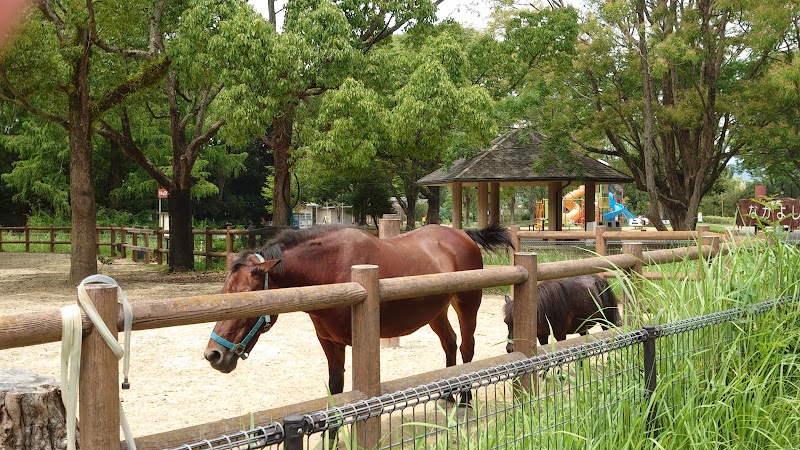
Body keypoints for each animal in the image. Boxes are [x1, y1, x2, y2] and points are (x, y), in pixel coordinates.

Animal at [203, 223, 510, 402]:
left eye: (248, 298)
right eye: (224, 293)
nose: (213, 355)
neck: (330, 270)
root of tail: (462, 234)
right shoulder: (330, 343)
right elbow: (336, 390)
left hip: (467, 304)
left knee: (467, 348)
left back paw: (465, 400)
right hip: (436, 311)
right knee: (450, 343)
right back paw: (448, 395)